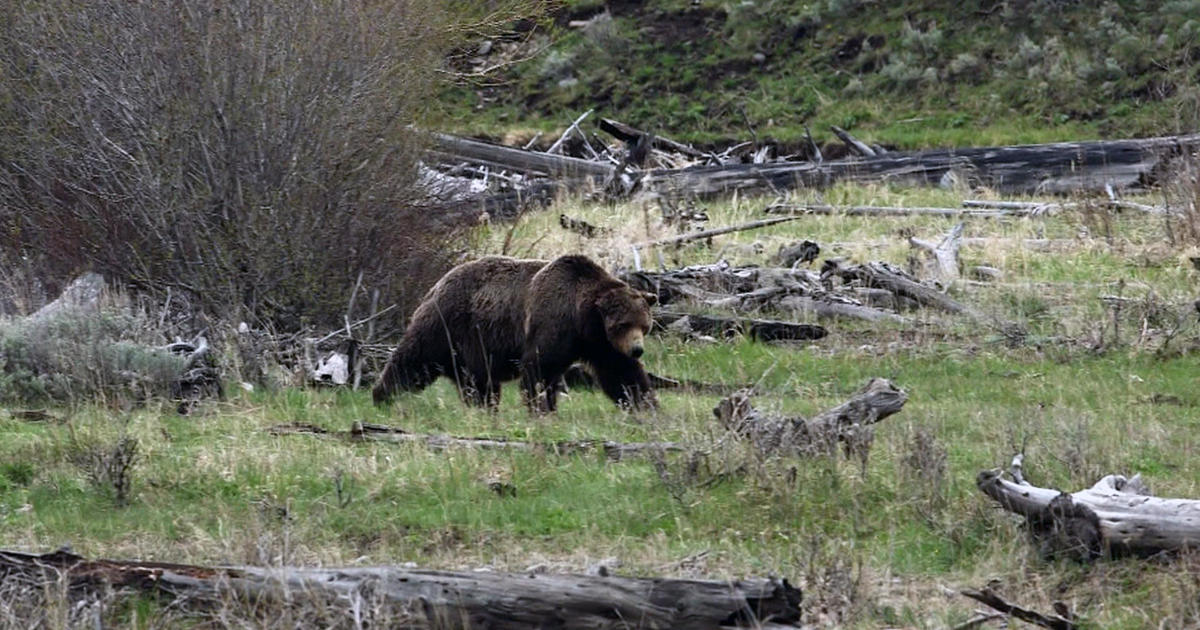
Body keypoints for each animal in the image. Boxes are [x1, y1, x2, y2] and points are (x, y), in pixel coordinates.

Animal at [374, 253, 657, 410]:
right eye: (623, 324)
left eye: (645, 325)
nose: (637, 350)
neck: (581, 318)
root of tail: (437, 283)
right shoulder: (551, 323)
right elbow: (539, 370)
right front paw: (541, 407)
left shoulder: (601, 343)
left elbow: (621, 373)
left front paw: (644, 404)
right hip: (447, 325)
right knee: (413, 360)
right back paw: (381, 395)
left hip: (471, 350)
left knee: (478, 383)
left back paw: (484, 408)